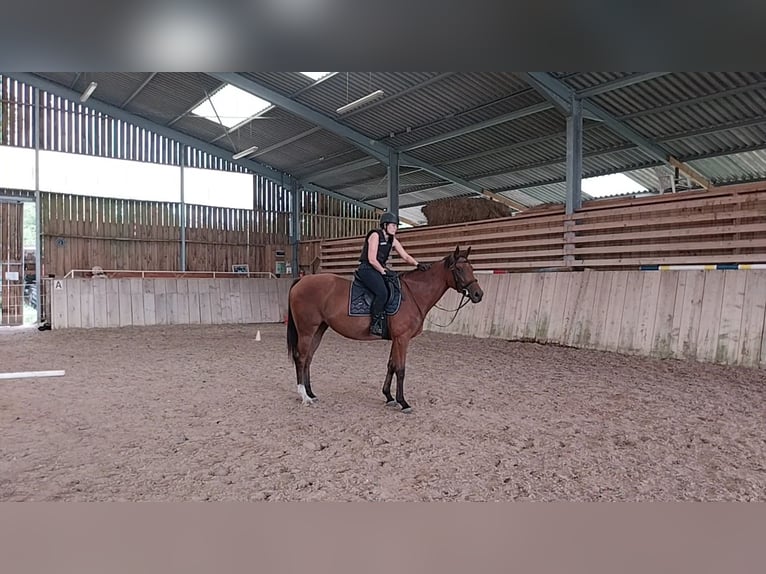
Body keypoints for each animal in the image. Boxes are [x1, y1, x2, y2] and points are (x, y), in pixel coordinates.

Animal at [288, 246, 486, 414]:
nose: (478, 294)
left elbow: (391, 365)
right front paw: (403, 402)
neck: (412, 294)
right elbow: (401, 369)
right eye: (458, 269)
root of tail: (302, 279)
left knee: (309, 359)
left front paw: (389, 397)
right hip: (307, 331)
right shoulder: (402, 339)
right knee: (301, 358)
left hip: (319, 329)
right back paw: (304, 396)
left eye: (471, 268)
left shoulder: (396, 339)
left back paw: (311, 393)